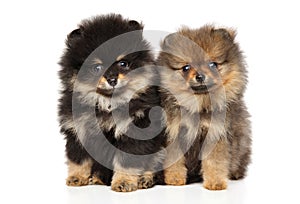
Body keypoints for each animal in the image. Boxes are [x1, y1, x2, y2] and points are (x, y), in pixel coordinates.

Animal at [58, 13, 164, 191]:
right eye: (97, 68)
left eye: (123, 63)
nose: (112, 79)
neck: (107, 104)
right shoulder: (77, 131)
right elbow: (79, 159)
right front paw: (76, 177)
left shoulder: (134, 131)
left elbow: (126, 162)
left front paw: (123, 182)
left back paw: (145, 179)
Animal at [158, 25, 252, 190]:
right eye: (186, 68)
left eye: (212, 64)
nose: (200, 76)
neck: (199, 104)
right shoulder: (175, 132)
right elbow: (174, 159)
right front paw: (175, 179)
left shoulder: (215, 133)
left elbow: (214, 162)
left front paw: (215, 183)